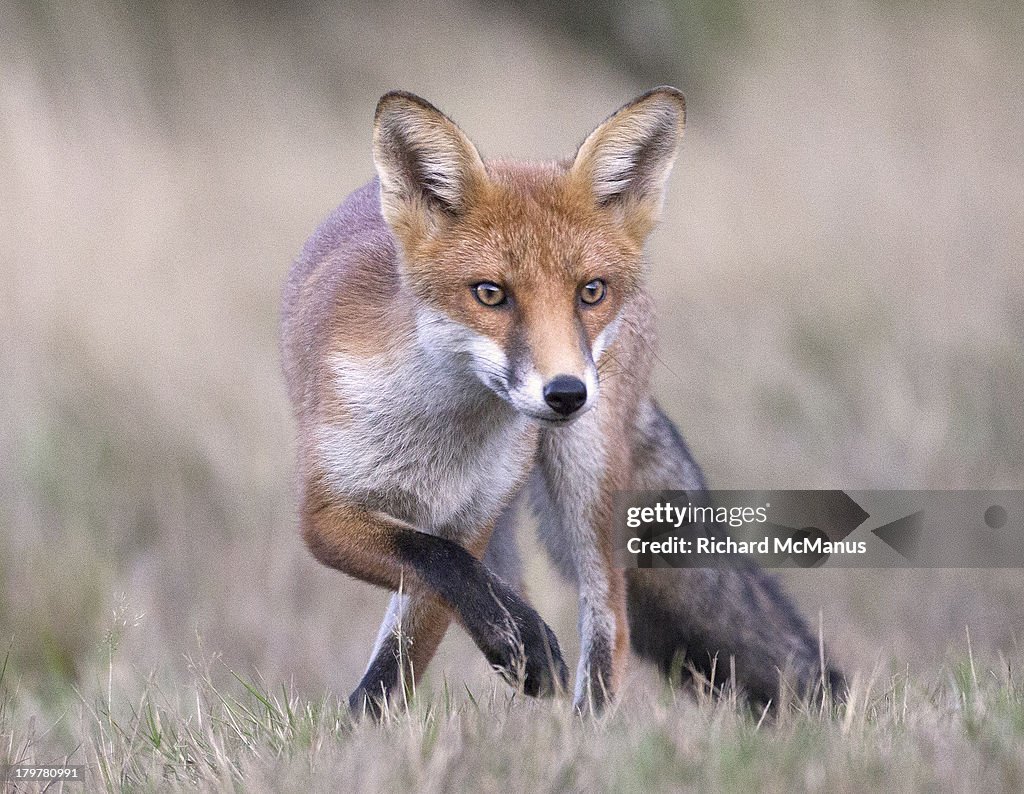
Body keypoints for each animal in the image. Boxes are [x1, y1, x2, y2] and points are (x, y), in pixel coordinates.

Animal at [280, 87, 844, 715]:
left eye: (590, 292)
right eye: (490, 294)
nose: (567, 393)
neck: (434, 433)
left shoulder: (469, 519)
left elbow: (421, 620)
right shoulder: (326, 515)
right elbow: (441, 572)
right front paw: (510, 648)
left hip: (583, 472)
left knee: (610, 619)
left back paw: (585, 729)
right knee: (514, 584)